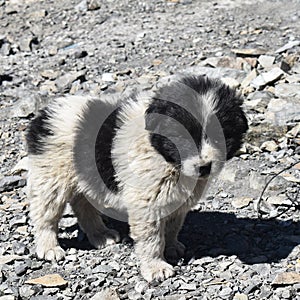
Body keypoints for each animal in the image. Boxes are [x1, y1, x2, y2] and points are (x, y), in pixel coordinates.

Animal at [25, 74, 247, 282]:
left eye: (220, 136)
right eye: (182, 137)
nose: (204, 166)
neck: (163, 154)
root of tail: (43, 116)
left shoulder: (175, 200)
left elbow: (172, 227)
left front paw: (172, 247)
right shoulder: (147, 203)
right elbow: (152, 239)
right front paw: (156, 267)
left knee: (82, 204)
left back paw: (100, 234)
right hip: (51, 177)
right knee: (45, 214)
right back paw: (49, 247)